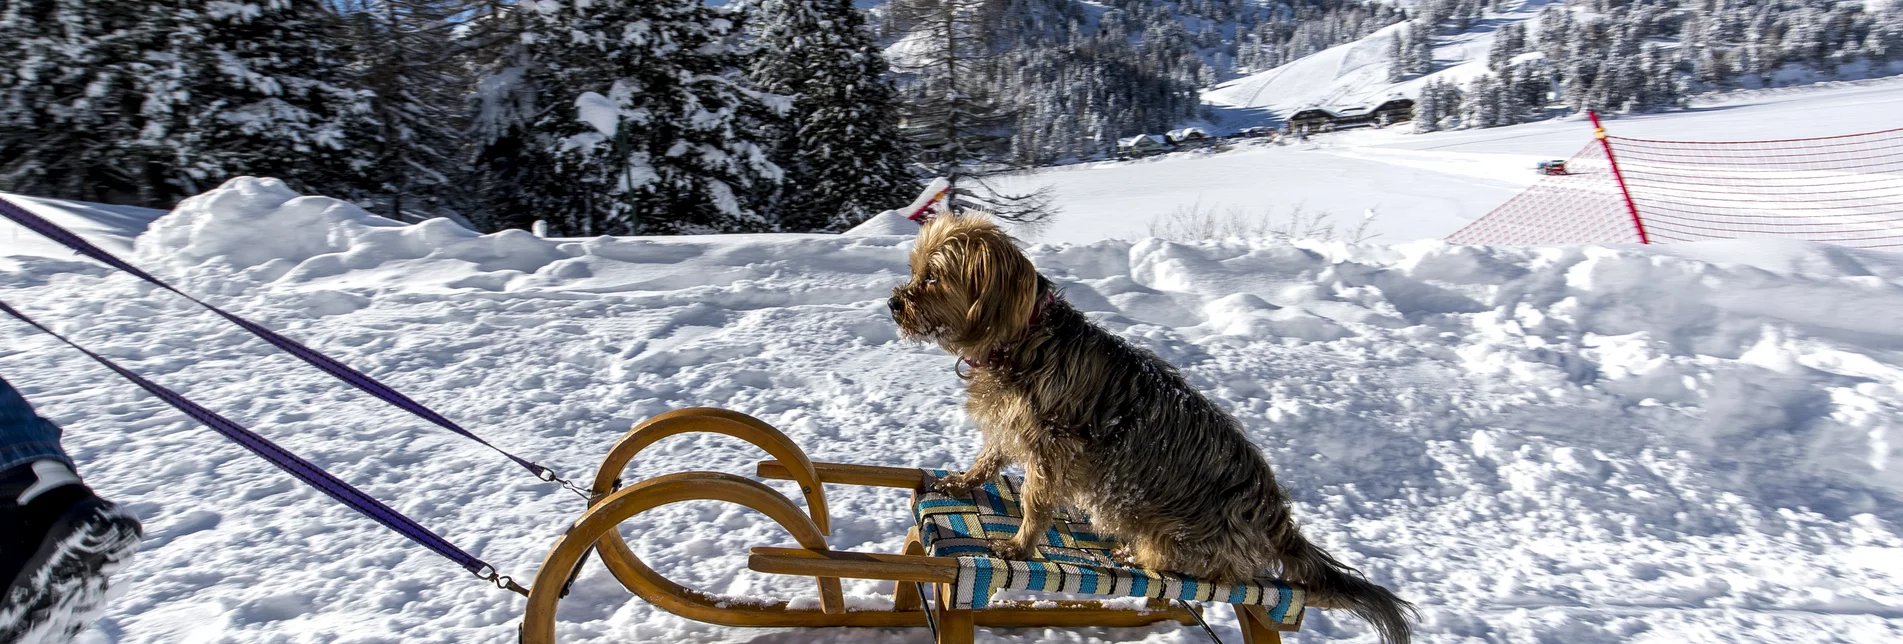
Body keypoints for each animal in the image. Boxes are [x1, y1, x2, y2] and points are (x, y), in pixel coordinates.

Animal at [890, 212, 1415, 644]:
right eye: (916, 269)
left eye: (933, 276)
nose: (894, 303)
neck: (1021, 338)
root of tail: (1273, 514)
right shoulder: (1007, 428)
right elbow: (988, 459)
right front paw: (962, 482)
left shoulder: (1051, 450)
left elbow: (1035, 502)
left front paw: (1019, 546)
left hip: (1179, 533)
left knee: (1193, 566)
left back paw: (1134, 557)